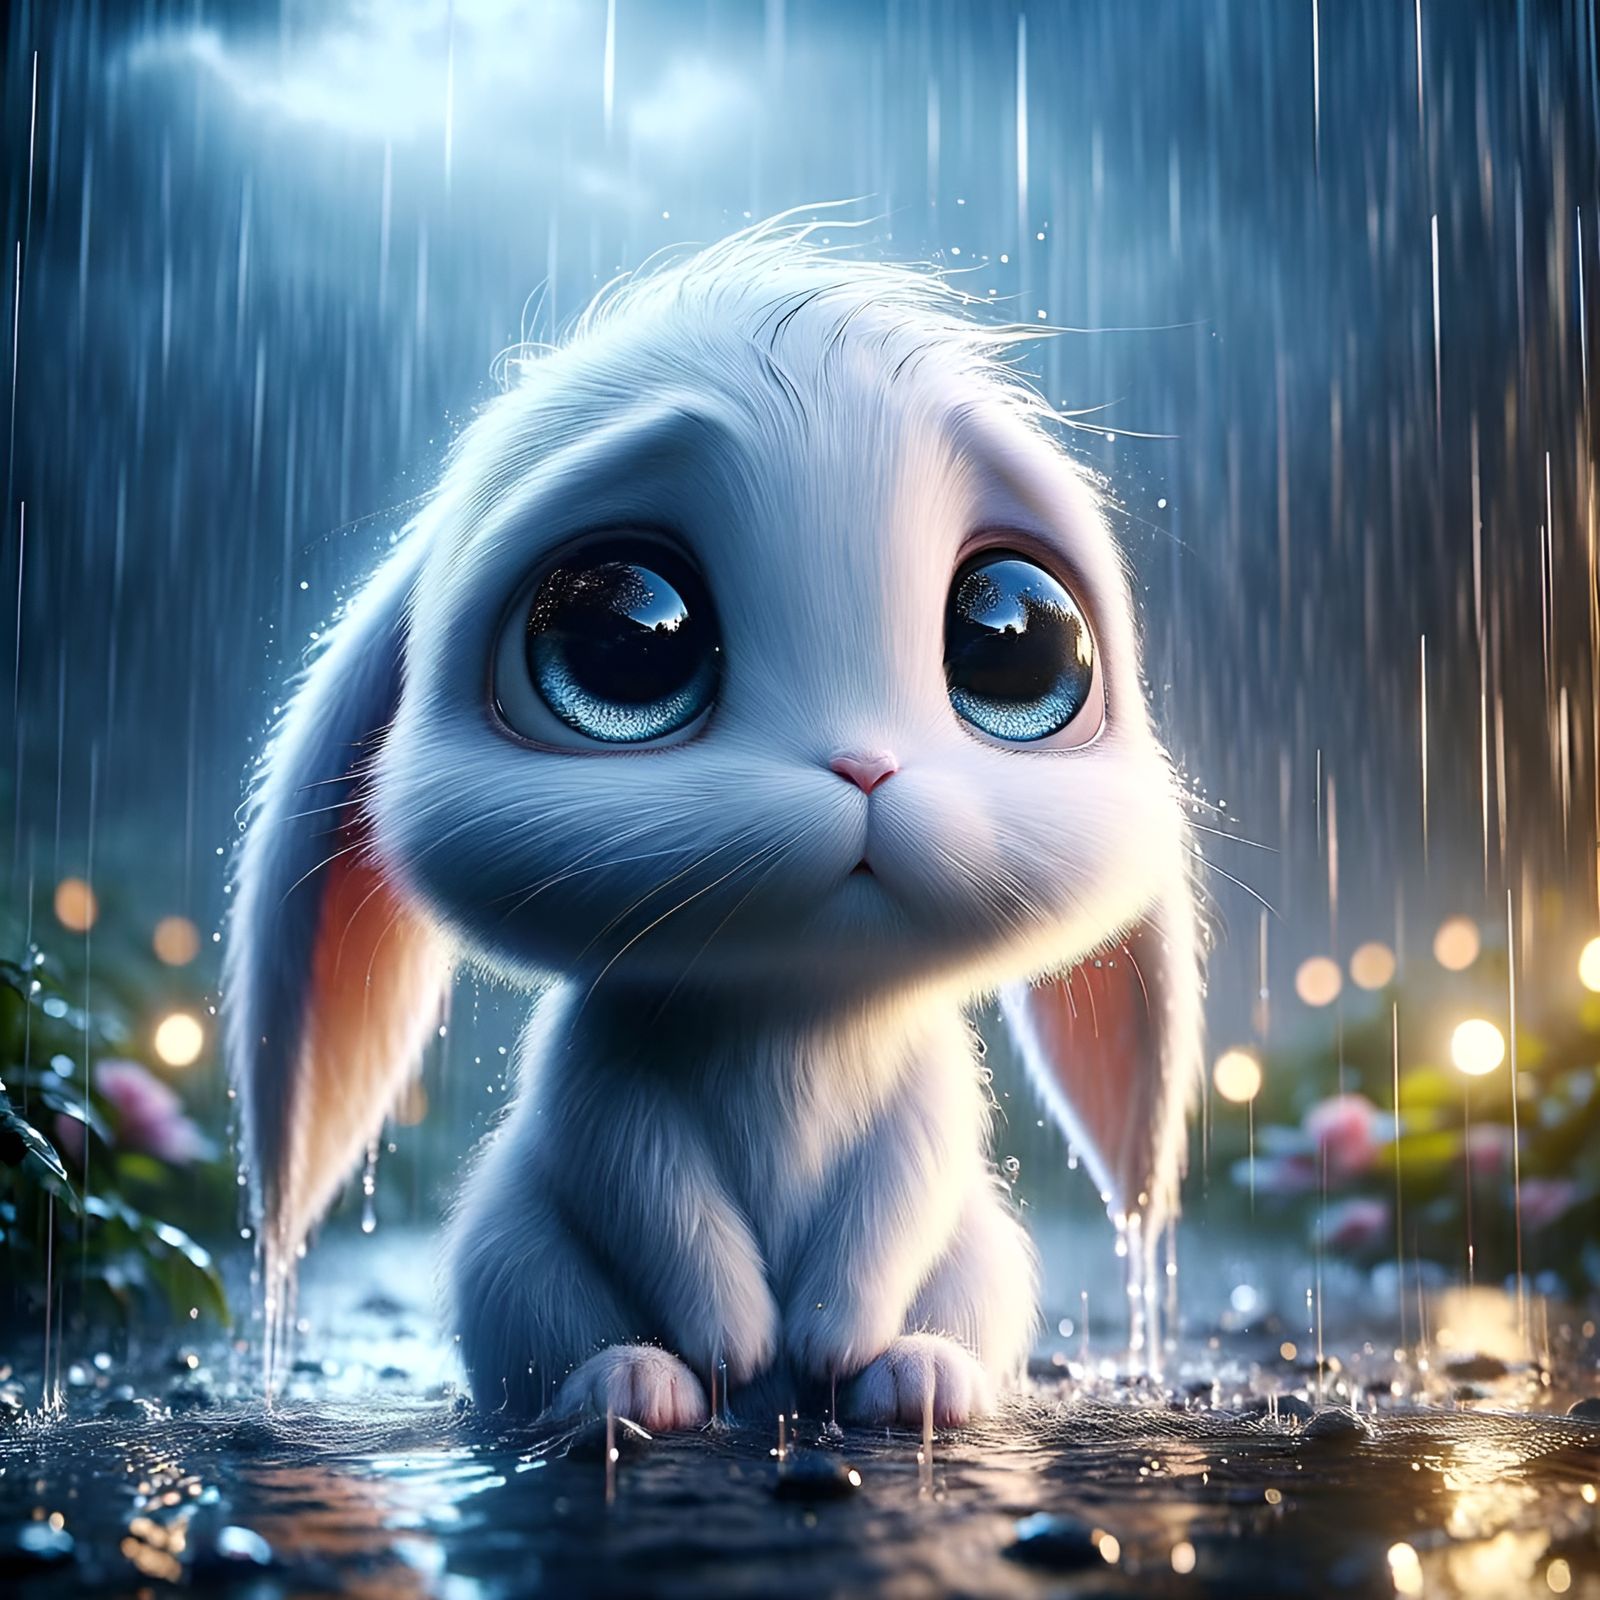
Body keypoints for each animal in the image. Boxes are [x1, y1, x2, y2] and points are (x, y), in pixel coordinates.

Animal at [225, 215, 1203, 1431]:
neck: (790, 1005)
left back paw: (914, 1381)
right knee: (557, 1330)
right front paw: (736, 1337)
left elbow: (915, 1161)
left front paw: (830, 1335)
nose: (865, 764)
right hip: (510, 1258)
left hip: (982, 1257)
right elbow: (639, 1180)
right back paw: (636, 1390)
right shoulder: (603, 1072)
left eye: (1014, 643)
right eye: (622, 638)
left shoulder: (927, 1086)